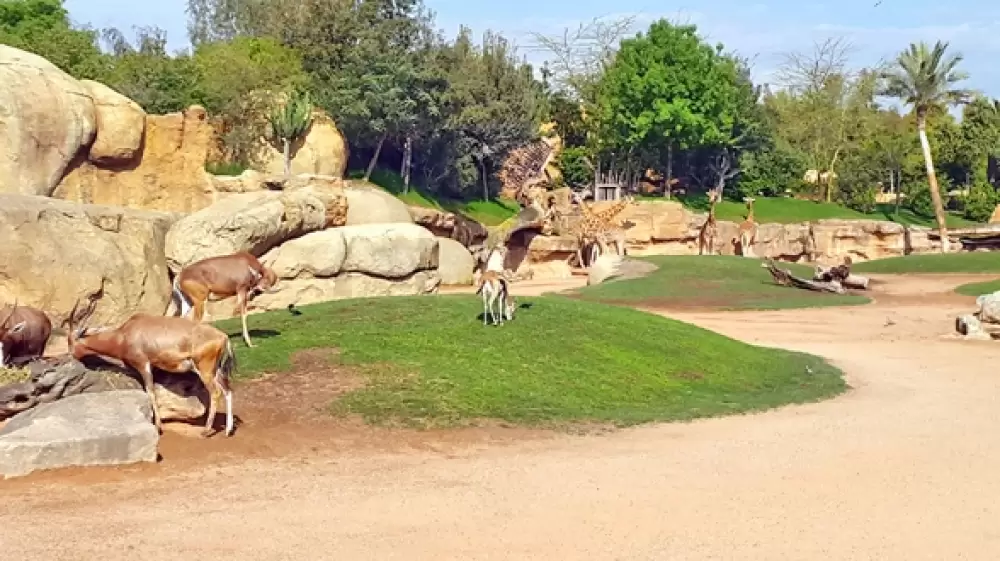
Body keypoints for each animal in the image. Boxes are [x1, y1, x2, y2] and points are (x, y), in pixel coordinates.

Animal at [69, 300, 238, 436]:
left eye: (70, 342)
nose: (72, 357)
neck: (125, 333)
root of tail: (223, 337)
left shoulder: (144, 365)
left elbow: (151, 392)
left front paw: (158, 426)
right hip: (216, 371)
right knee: (228, 390)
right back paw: (228, 430)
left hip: (204, 371)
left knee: (215, 392)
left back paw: (206, 430)